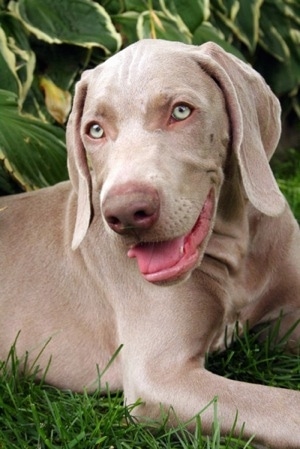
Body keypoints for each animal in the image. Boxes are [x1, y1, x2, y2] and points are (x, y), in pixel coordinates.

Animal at [0, 40, 300, 446]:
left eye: (180, 111)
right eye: (95, 130)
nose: (126, 213)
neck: (237, 253)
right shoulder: (159, 378)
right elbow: (286, 407)